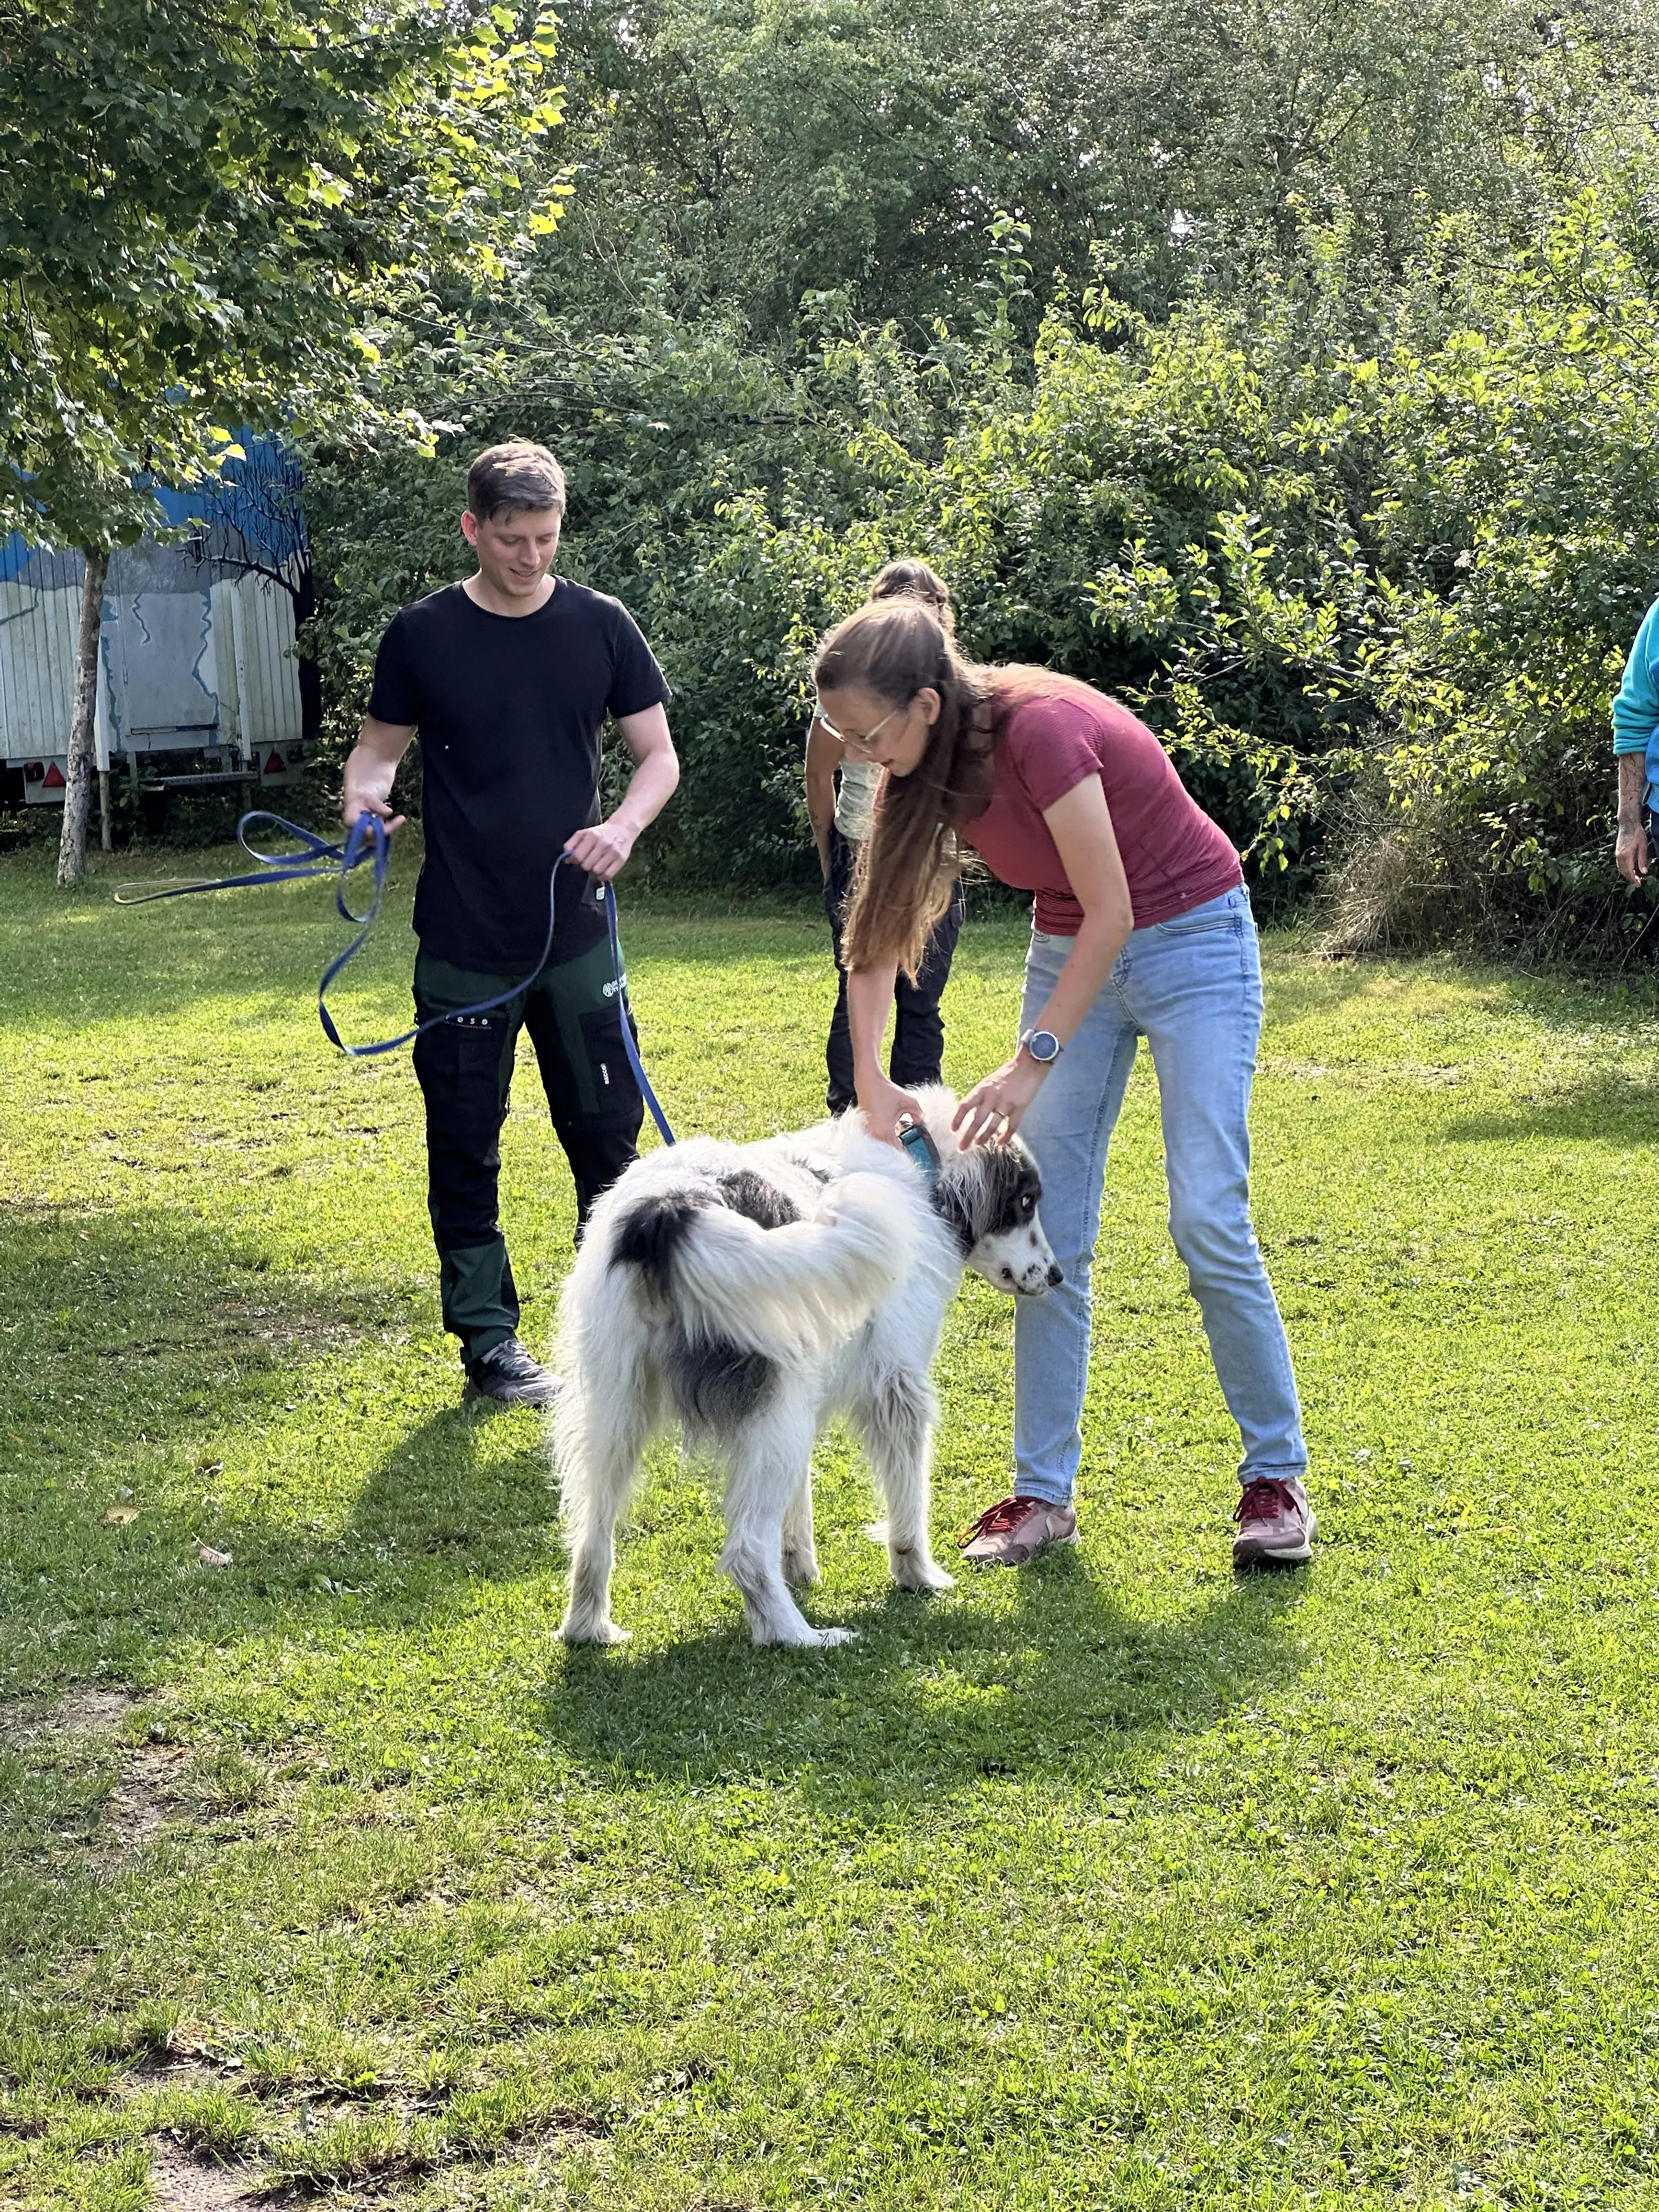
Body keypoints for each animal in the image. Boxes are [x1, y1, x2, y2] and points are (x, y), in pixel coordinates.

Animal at [553, 1088, 1057, 1645]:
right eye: (1025, 1202)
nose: (1057, 1275)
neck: (920, 1166)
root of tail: (669, 1213)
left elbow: (799, 1507)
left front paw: (799, 1567)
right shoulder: (896, 1388)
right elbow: (909, 1501)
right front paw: (919, 1575)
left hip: (620, 1413)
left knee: (592, 1538)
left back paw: (589, 1629)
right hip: (775, 1419)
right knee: (746, 1552)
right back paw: (799, 1636)